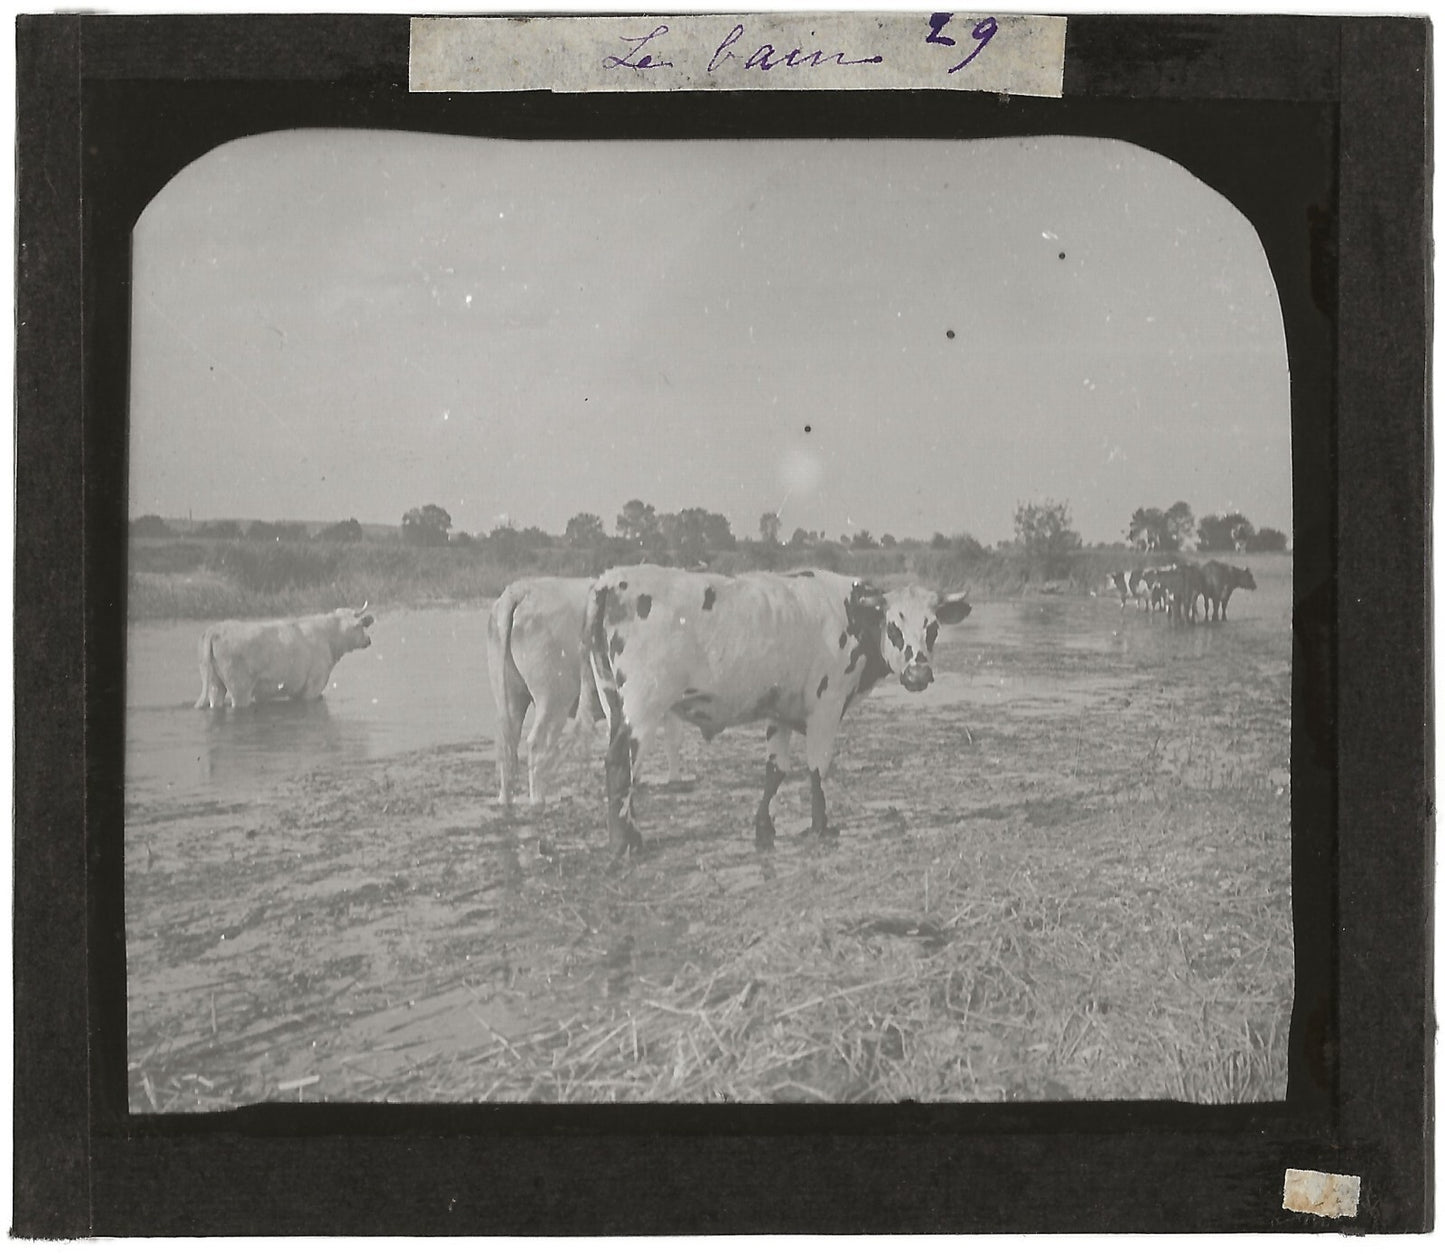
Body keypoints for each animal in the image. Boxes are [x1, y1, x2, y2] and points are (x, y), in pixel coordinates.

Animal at [196, 605, 374, 709]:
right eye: (360, 626)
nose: (369, 640)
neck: (329, 636)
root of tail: (216, 629)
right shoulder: (314, 686)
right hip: (239, 688)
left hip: (216, 684)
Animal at [487, 576, 683, 808]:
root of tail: (520, 590)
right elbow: (672, 741)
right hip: (554, 698)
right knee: (536, 744)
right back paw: (538, 800)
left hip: (510, 695)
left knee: (507, 745)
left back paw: (505, 800)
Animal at [582, 565, 972, 859]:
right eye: (893, 627)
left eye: (933, 629)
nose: (918, 674)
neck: (850, 614)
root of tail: (609, 580)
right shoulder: (827, 705)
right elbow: (817, 768)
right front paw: (820, 826)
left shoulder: (779, 711)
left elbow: (776, 770)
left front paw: (764, 827)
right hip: (642, 706)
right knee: (619, 763)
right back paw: (623, 846)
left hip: (614, 701)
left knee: (627, 769)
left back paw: (633, 835)